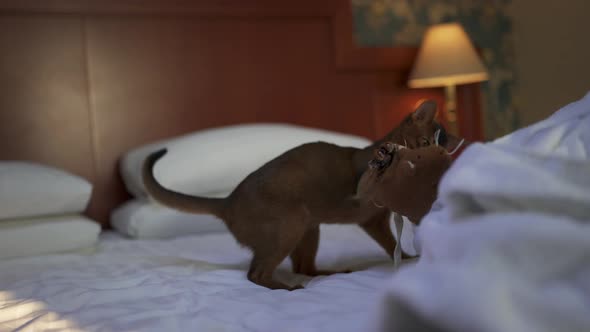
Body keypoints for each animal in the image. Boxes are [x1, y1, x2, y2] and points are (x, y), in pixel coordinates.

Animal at [146, 100, 460, 290]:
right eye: (426, 143)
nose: (441, 162)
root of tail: (228, 202)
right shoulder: (372, 218)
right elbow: (392, 243)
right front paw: (407, 259)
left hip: (310, 228)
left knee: (303, 266)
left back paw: (331, 274)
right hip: (291, 224)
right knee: (256, 274)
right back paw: (286, 288)